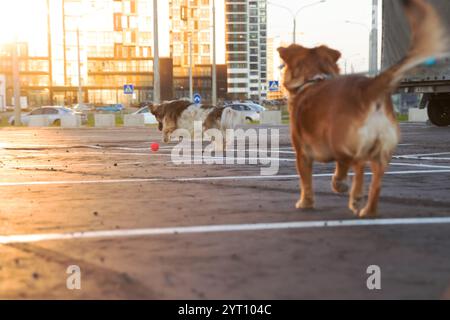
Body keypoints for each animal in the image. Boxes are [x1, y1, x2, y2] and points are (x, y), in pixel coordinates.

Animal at [278, 0, 446, 218]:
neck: (314, 79)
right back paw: (367, 209)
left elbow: (306, 181)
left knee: (355, 162)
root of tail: (368, 87)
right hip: (381, 151)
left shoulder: (302, 152)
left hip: (343, 140)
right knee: (373, 180)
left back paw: (348, 191)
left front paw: (306, 202)